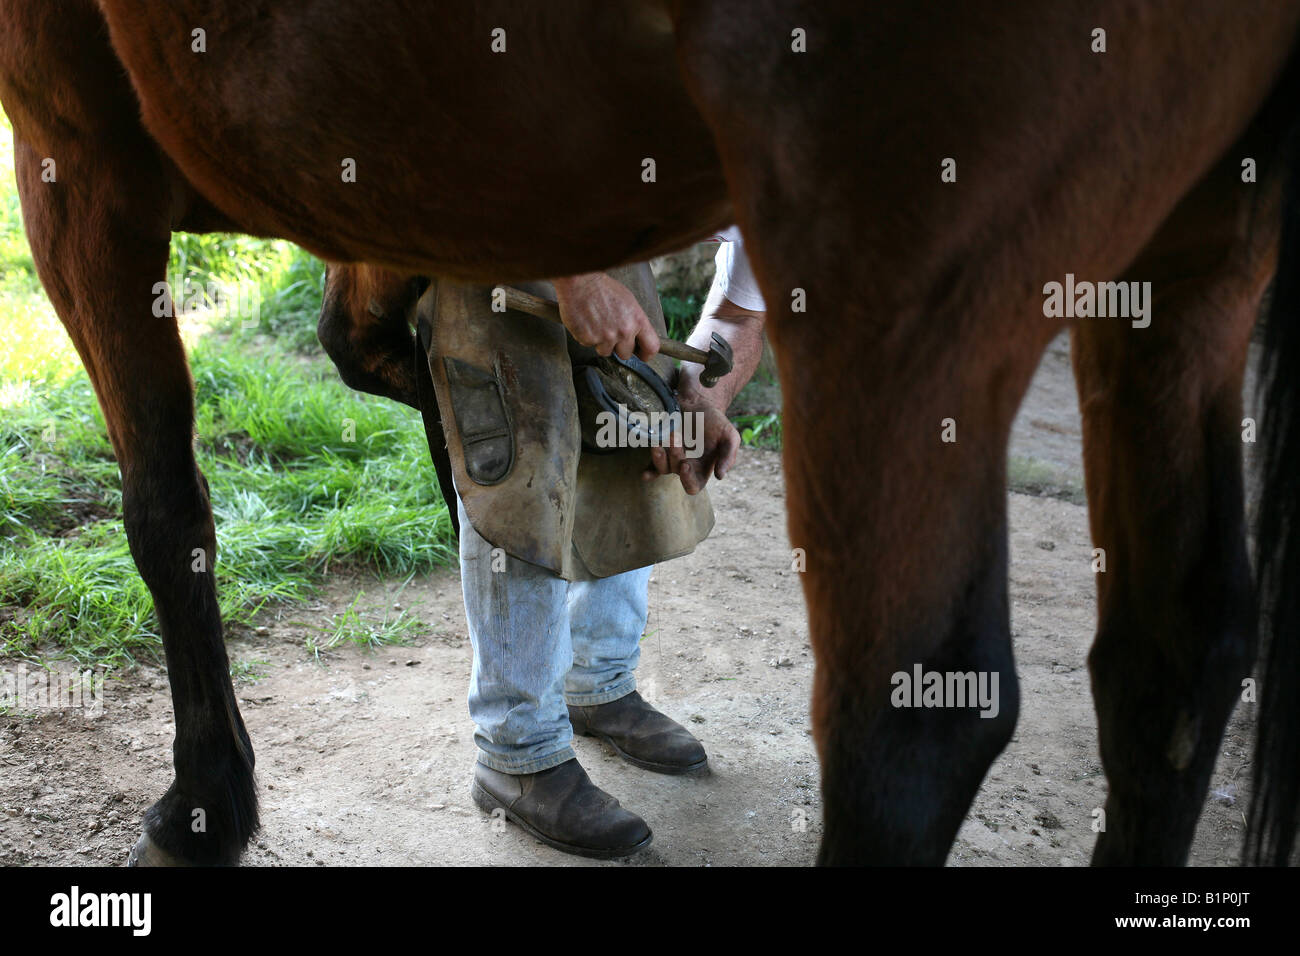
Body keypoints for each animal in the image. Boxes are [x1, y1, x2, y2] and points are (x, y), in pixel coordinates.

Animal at [2, 1, 1300, 868]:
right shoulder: (393, 191)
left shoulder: (75, 164)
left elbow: (166, 514)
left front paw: (204, 804)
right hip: (1188, 266)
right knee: (1173, 661)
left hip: (905, 283)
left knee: (907, 719)